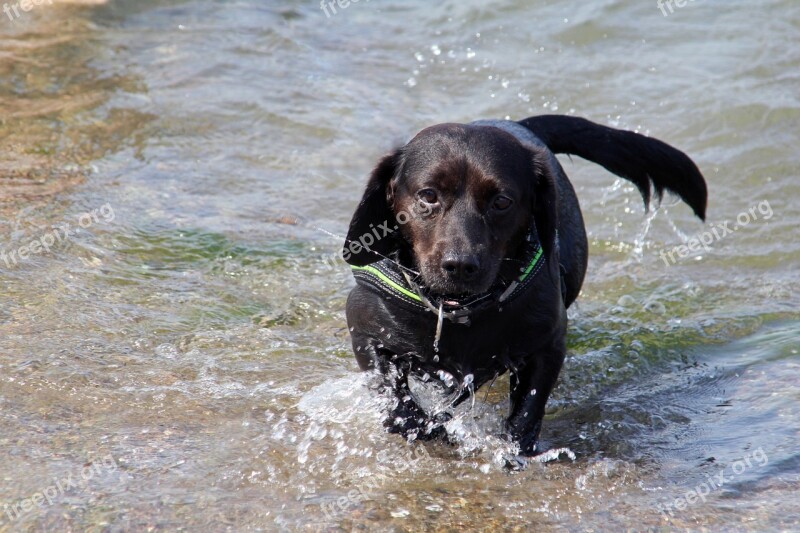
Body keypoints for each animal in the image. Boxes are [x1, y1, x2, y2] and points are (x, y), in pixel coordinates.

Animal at [340, 114, 704, 456]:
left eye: (501, 201)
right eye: (428, 195)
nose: (460, 265)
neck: (459, 309)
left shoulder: (548, 344)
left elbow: (527, 411)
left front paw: (513, 450)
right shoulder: (366, 332)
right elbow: (397, 402)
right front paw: (430, 425)